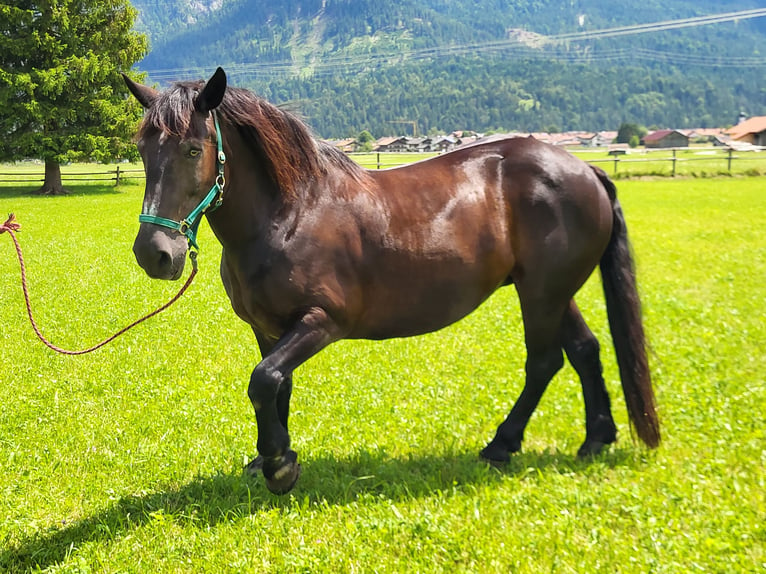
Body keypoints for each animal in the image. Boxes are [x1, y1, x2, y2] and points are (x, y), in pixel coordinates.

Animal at [124, 66, 660, 490]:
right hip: (551, 290)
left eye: (193, 150)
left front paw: (280, 465)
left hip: (542, 294)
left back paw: (502, 445)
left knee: (545, 361)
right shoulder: (268, 328)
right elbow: (278, 386)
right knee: (585, 349)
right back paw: (596, 438)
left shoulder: (322, 321)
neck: (291, 213)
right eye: (143, 150)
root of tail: (586, 170)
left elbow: (264, 380)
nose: (155, 254)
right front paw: (270, 455)